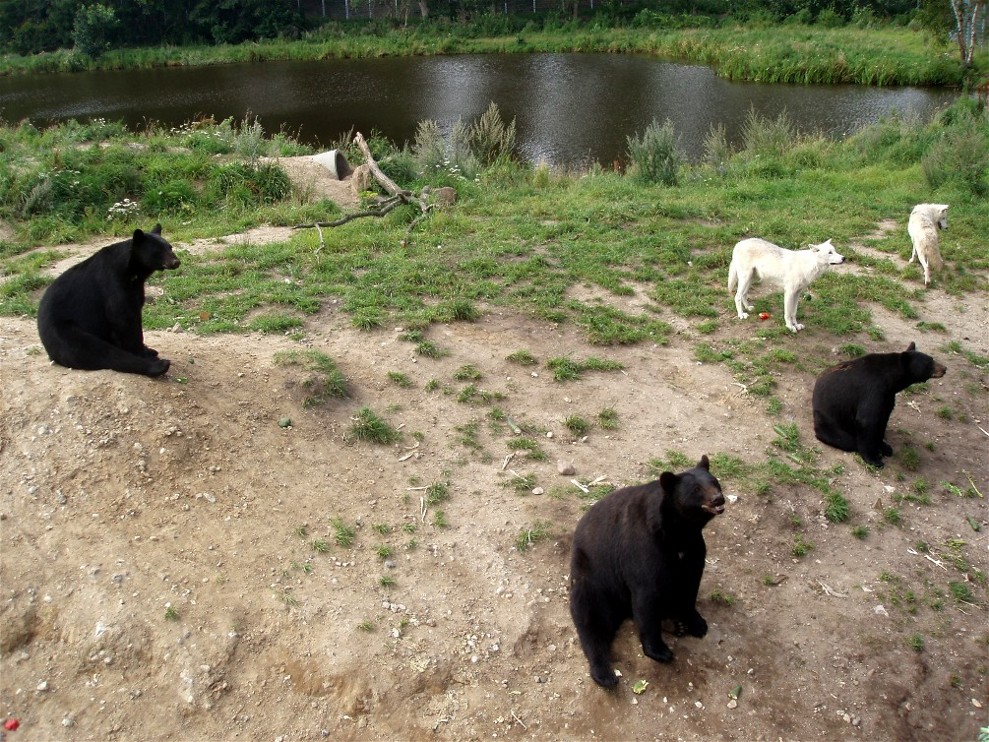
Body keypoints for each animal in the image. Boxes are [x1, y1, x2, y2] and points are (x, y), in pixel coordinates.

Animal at [37, 224, 181, 377]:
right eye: (157, 250)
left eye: (170, 247)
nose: (176, 262)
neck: (132, 272)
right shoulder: (113, 284)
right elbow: (123, 318)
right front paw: (141, 352)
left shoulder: (135, 288)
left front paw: (146, 349)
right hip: (64, 331)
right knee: (98, 351)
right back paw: (158, 365)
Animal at [569, 455, 725, 689]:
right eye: (696, 489)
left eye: (715, 482)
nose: (718, 499)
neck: (679, 532)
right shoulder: (643, 546)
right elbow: (647, 595)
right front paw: (660, 651)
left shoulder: (694, 549)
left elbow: (690, 585)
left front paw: (697, 623)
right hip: (592, 576)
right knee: (591, 620)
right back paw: (605, 674)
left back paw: (675, 623)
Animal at [812, 342, 946, 468]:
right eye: (929, 362)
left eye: (932, 358)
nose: (944, 368)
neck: (892, 381)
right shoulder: (873, 389)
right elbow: (867, 420)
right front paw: (874, 459)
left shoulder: (887, 396)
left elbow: (882, 419)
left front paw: (883, 446)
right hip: (829, 422)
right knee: (846, 439)